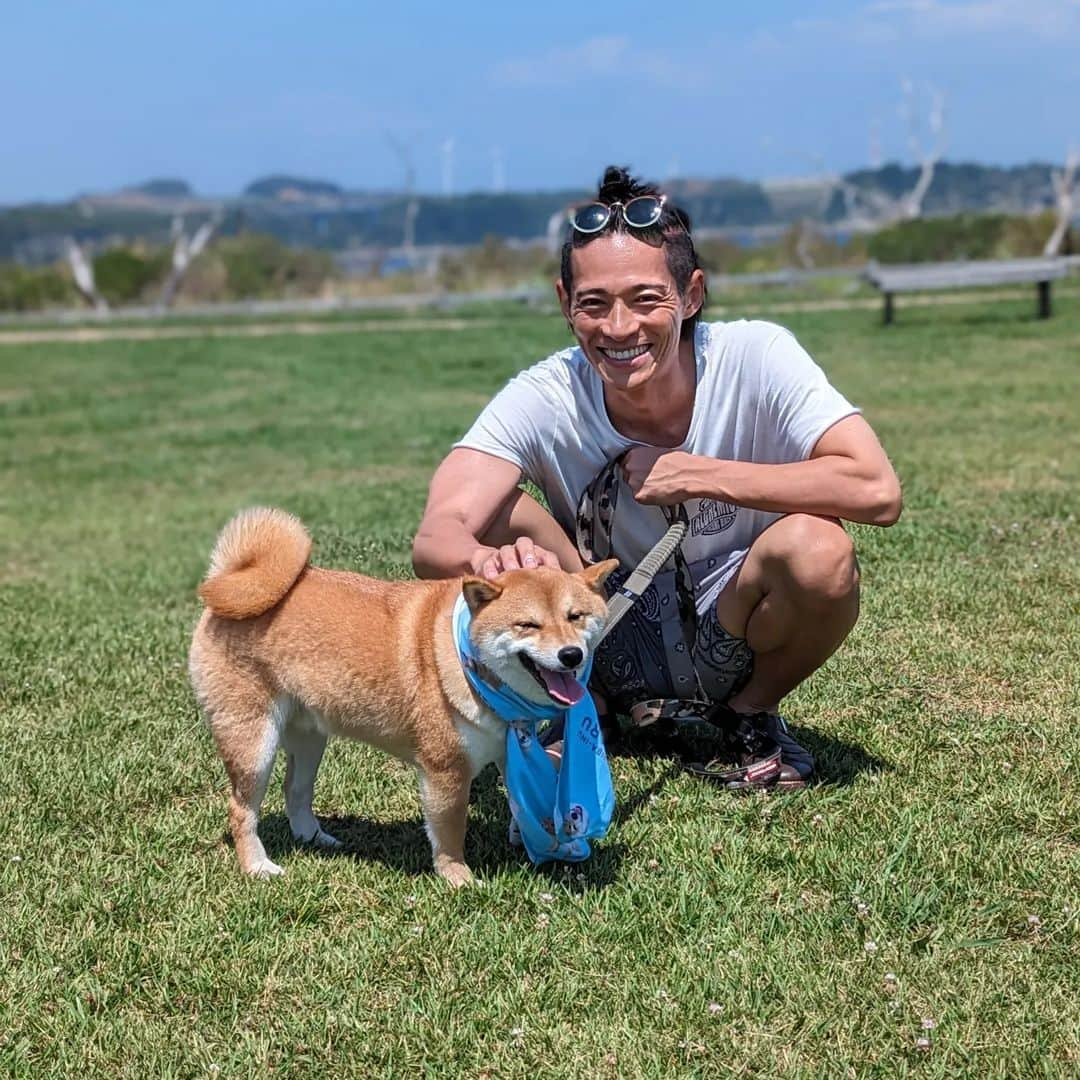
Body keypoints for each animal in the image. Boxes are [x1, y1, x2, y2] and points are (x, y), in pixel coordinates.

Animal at [185, 505, 617, 885]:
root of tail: (226, 584)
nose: (571, 655)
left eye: (575, 616)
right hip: (254, 746)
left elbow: (520, 797)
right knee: (241, 809)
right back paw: (257, 867)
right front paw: (458, 878)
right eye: (528, 625)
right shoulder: (446, 771)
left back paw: (314, 838)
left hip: (309, 736)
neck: (471, 666)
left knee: (296, 789)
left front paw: (529, 834)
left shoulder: (509, 748)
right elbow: (450, 831)